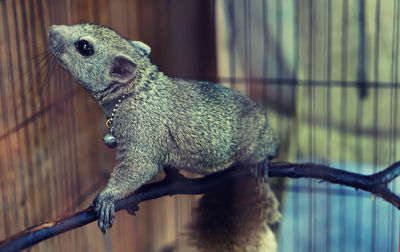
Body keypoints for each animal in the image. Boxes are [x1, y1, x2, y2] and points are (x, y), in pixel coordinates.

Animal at [47, 23, 278, 236]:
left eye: (84, 47)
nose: (51, 30)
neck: (133, 91)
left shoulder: (140, 128)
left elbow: (138, 167)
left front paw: (107, 197)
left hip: (256, 142)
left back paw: (262, 162)